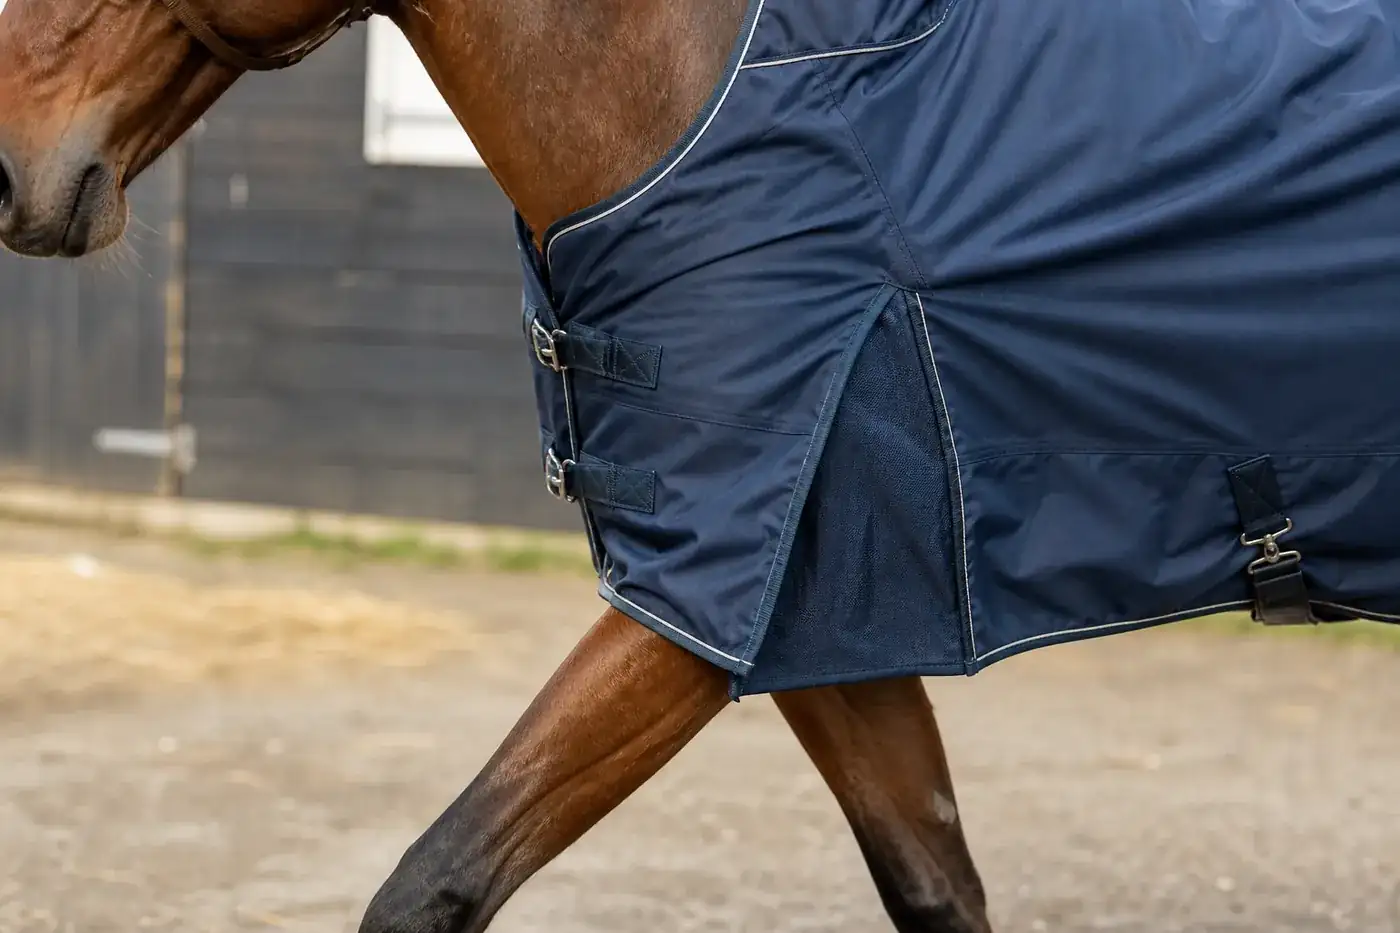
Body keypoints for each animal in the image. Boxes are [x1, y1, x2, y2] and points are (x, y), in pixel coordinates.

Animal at [8, 1, 1400, 932]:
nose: (13, 171)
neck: (696, 107)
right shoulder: (823, 613)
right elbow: (932, 880)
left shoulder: (693, 599)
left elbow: (436, 877)